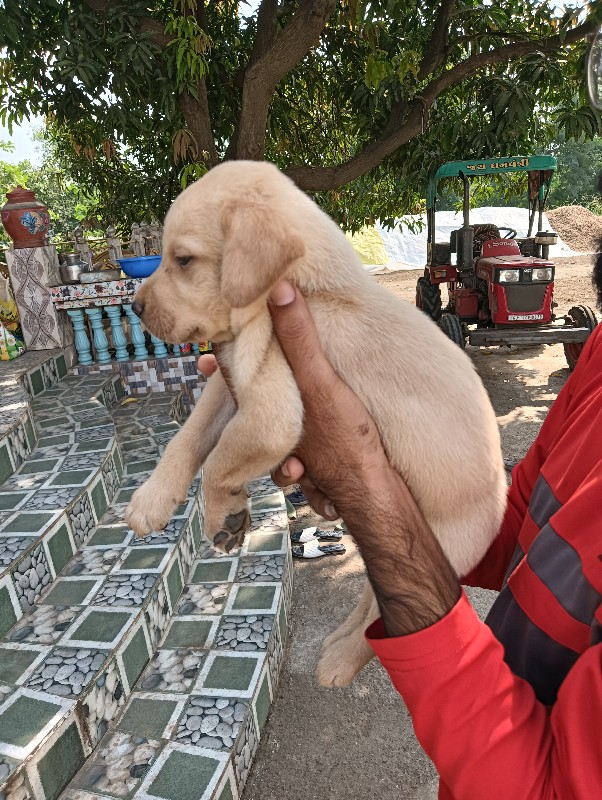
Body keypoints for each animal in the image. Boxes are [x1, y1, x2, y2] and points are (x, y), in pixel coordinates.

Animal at [125, 161, 506, 688]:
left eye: (182, 259)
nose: (135, 308)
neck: (311, 287)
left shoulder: (271, 412)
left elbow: (218, 460)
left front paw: (223, 517)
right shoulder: (232, 380)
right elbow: (189, 437)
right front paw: (151, 500)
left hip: (444, 544)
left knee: (392, 622)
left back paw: (339, 663)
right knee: (373, 605)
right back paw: (338, 640)